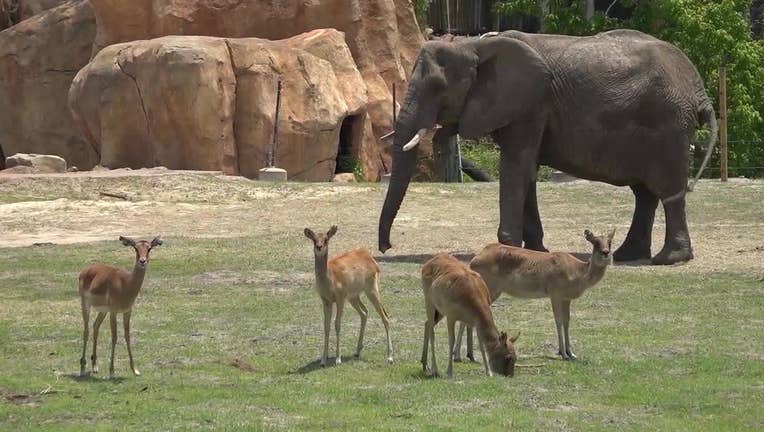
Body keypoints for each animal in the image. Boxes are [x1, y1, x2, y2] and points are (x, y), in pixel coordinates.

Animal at [78, 236, 162, 378]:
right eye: (135, 248)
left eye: (149, 248)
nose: (142, 261)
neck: (125, 284)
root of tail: (85, 270)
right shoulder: (114, 311)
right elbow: (114, 337)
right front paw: (112, 371)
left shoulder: (127, 311)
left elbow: (127, 336)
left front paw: (135, 370)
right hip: (85, 305)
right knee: (86, 330)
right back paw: (83, 368)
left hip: (102, 311)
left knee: (95, 326)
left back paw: (95, 366)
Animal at [302, 226, 394, 364]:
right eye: (314, 239)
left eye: (326, 239)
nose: (319, 246)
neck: (329, 278)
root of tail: (371, 259)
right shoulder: (326, 300)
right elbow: (326, 326)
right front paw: (323, 360)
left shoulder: (340, 299)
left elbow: (337, 324)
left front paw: (338, 359)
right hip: (353, 297)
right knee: (365, 312)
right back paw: (357, 351)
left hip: (371, 290)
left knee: (385, 315)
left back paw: (390, 357)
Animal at [380, 28, 720, 264]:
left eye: (438, 87)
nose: (387, 247)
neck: (475, 43)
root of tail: (699, 89)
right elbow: (526, 170)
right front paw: (536, 250)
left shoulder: (531, 103)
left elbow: (516, 165)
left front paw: (506, 248)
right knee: (645, 194)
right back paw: (627, 255)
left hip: (668, 124)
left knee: (667, 190)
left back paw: (668, 259)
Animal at [456, 230, 616, 362]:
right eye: (595, 242)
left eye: (609, 241)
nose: (606, 253)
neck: (577, 272)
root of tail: (473, 260)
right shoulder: (555, 295)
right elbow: (558, 321)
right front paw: (563, 354)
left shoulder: (566, 299)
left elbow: (567, 322)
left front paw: (572, 354)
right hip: (491, 290)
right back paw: (458, 356)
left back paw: (470, 355)